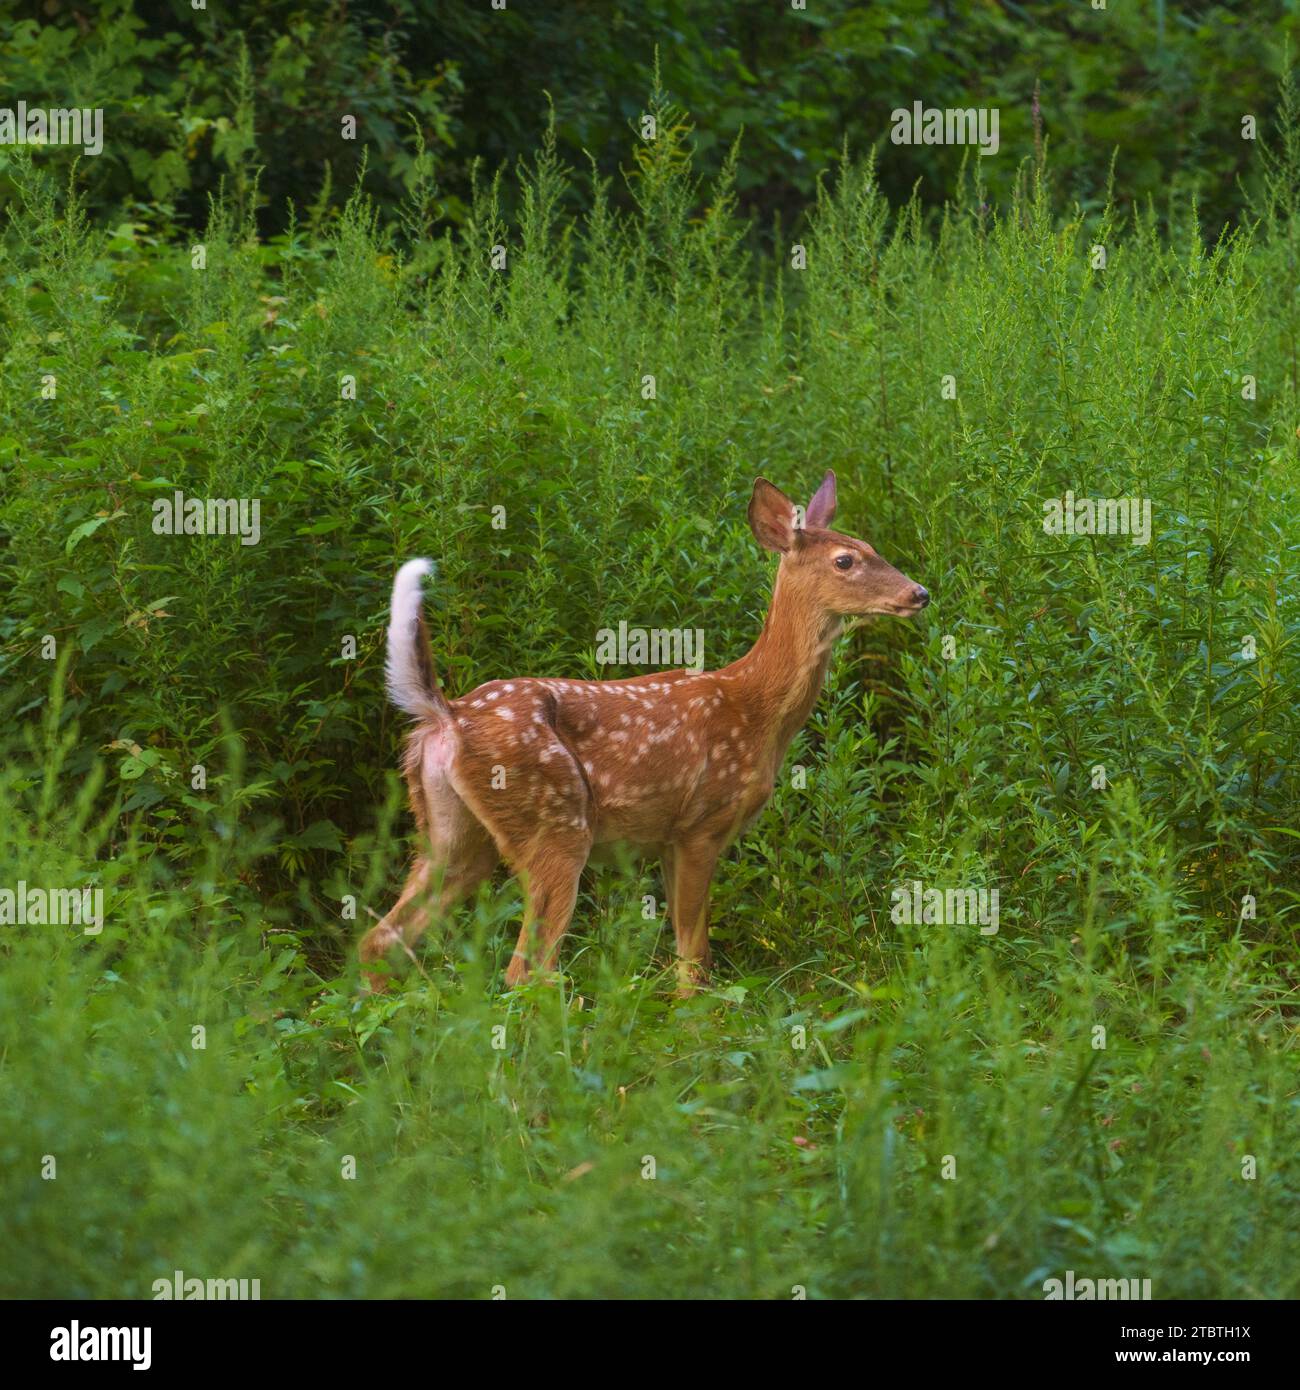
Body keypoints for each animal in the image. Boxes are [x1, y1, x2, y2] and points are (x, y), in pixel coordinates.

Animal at [360, 470, 929, 994]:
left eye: (872, 548)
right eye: (845, 561)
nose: (919, 593)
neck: (756, 709)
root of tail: (446, 715)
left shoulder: (669, 838)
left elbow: (690, 948)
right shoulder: (702, 822)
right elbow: (693, 958)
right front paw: (694, 1020)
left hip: (450, 831)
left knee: (380, 938)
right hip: (555, 822)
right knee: (525, 968)